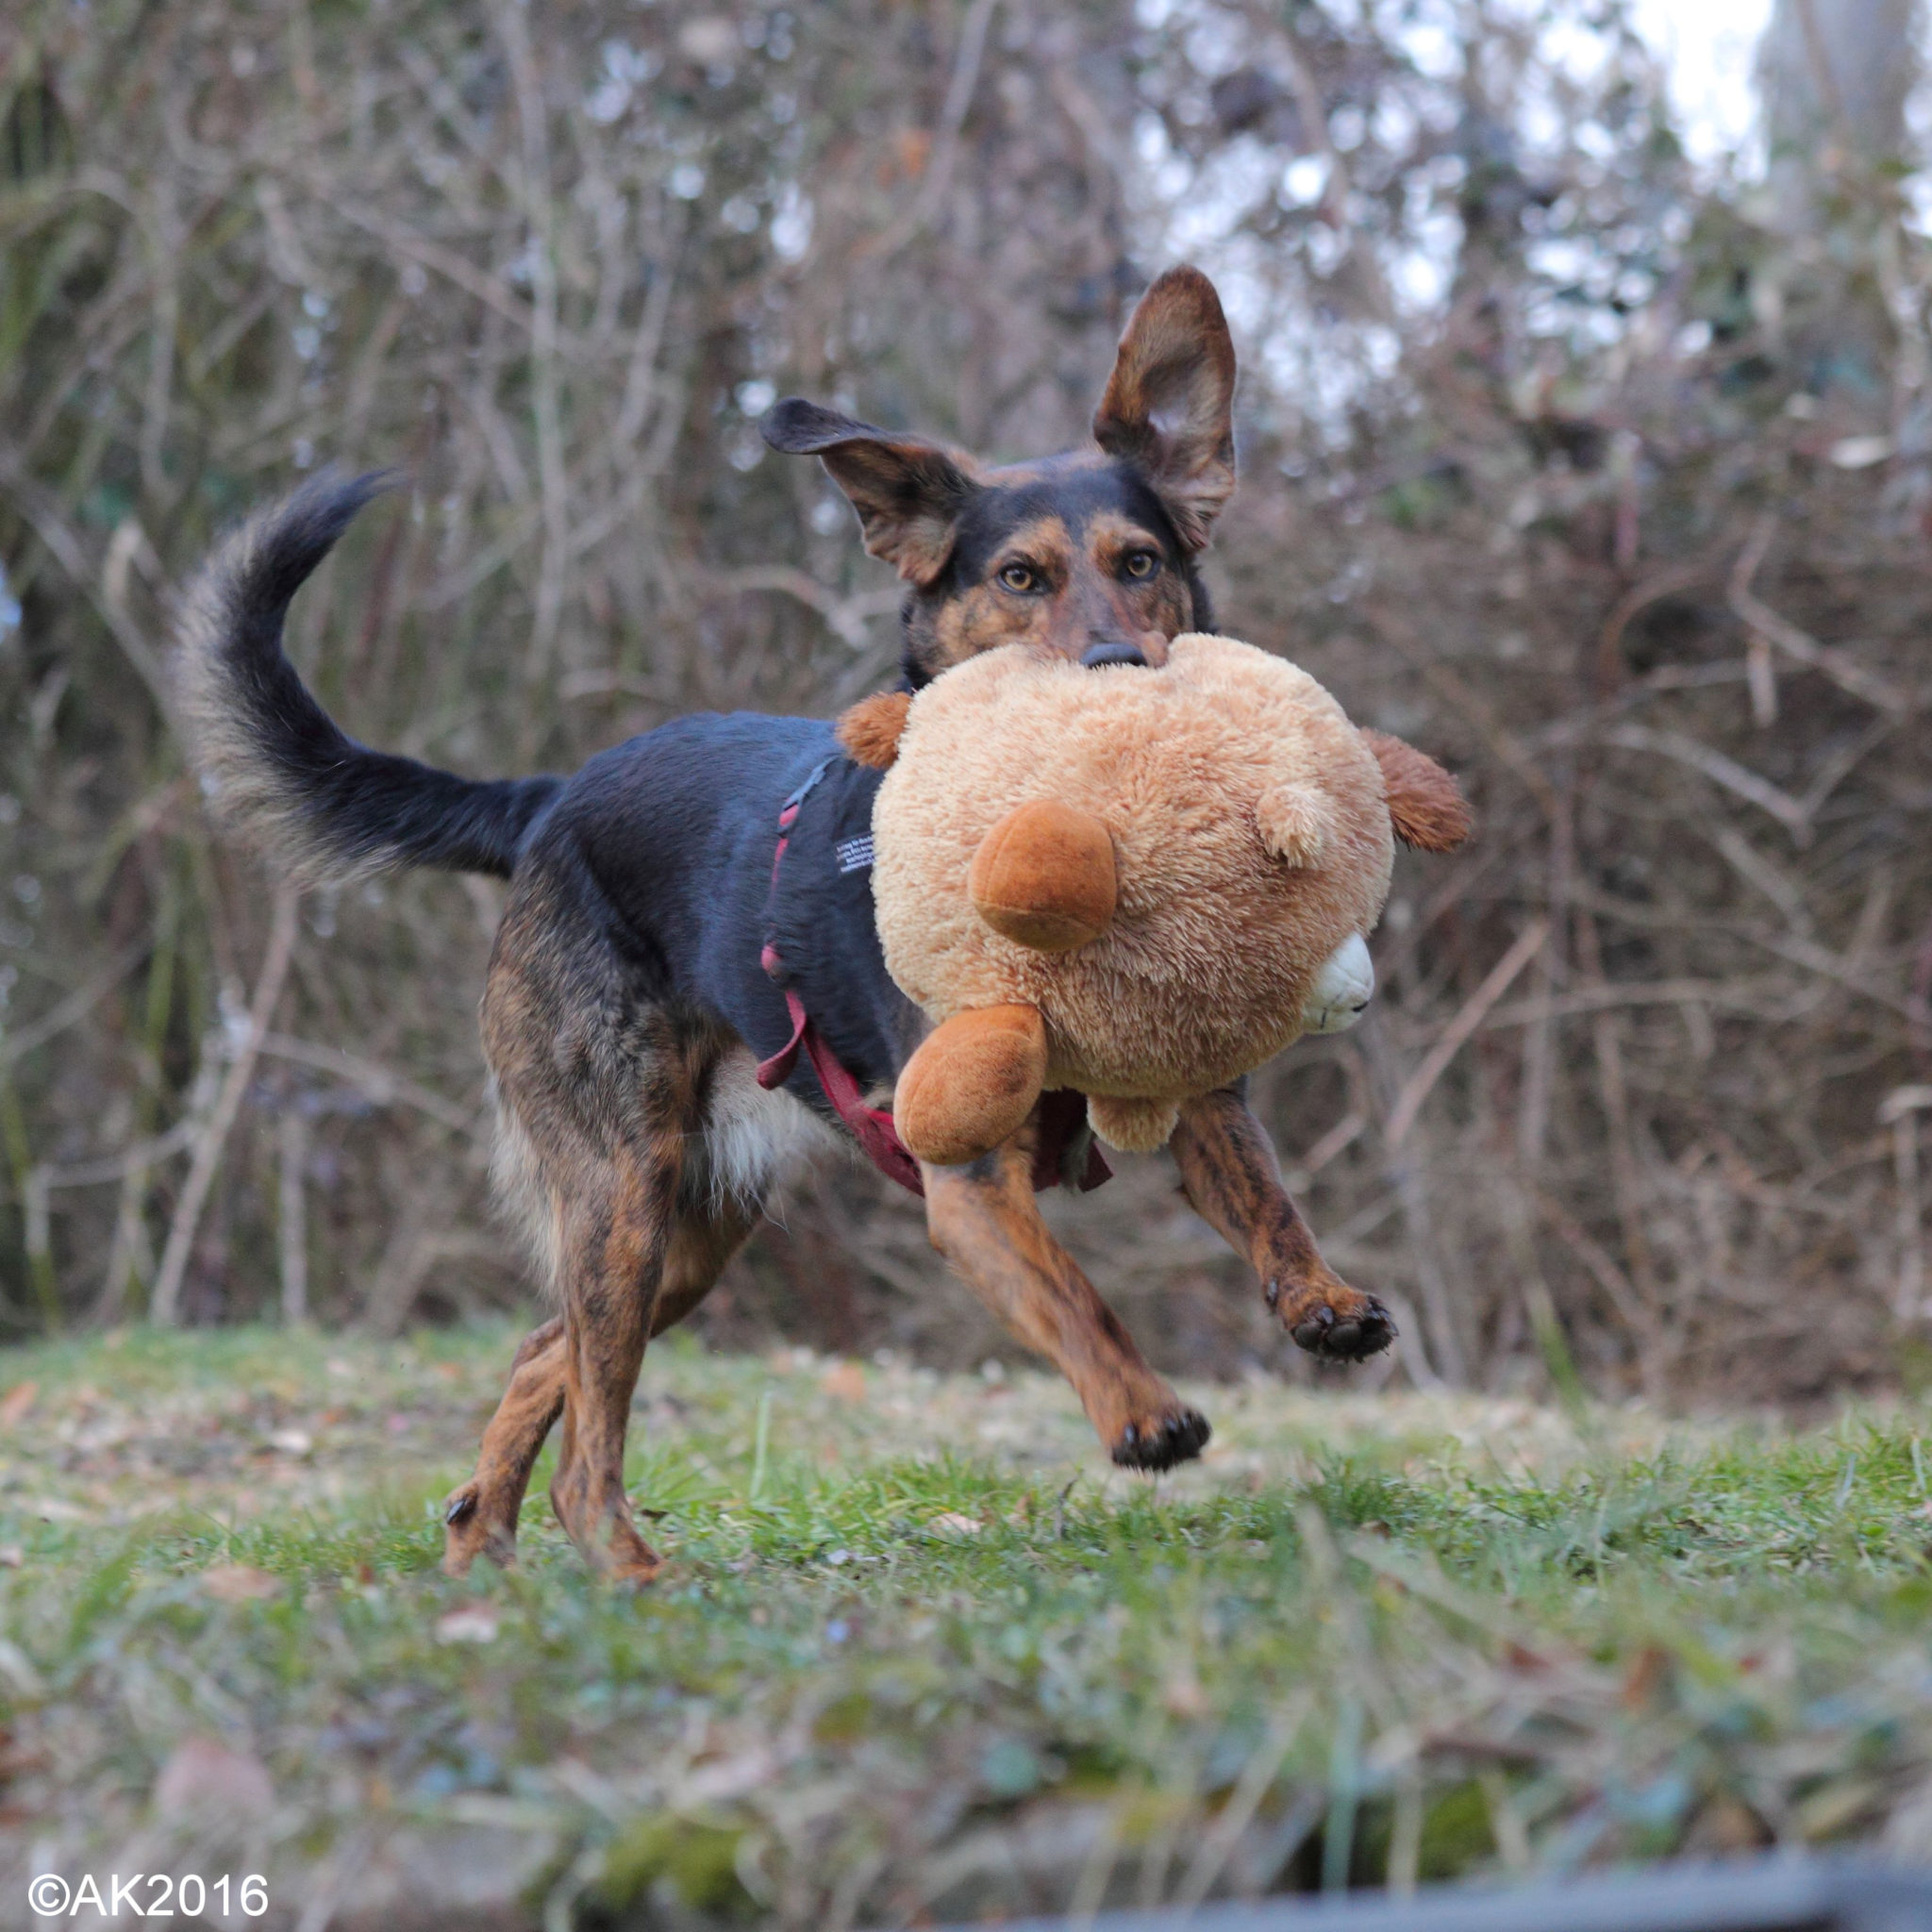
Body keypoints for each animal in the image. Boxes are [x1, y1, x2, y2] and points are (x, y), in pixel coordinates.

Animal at [181, 260, 1468, 1584]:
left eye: (1142, 560)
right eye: (1018, 578)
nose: (1117, 669)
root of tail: (546, 799)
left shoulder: (1194, 1089)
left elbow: (1265, 1196)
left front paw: (1317, 1296)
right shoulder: (967, 1181)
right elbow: (1072, 1293)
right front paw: (1139, 1409)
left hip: (689, 1229)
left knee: (554, 1354)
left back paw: (481, 1540)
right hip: (623, 1189)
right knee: (590, 1430)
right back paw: (626, 1570)